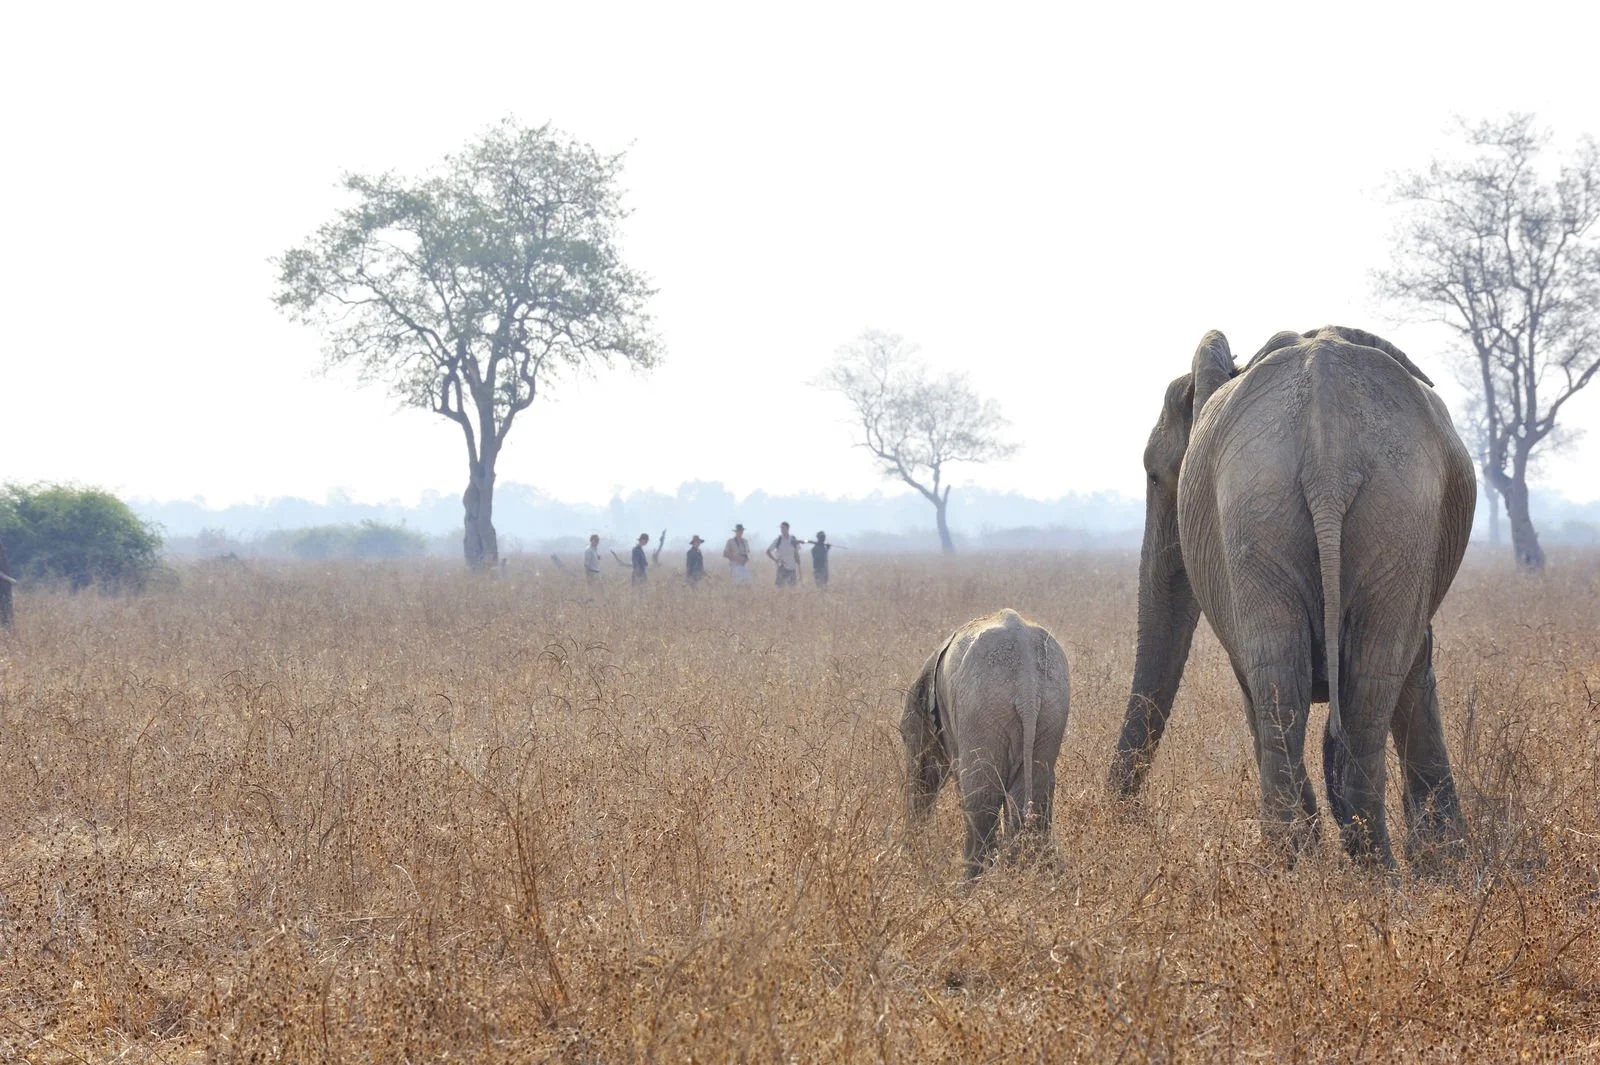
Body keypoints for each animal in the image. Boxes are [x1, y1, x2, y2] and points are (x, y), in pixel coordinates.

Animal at [903, 609, 1071, 877]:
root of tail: (1027, 682)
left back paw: (970, 881)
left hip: (982, 711)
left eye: (904, 737)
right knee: (1029, 795)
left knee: (981, 797)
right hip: (1051, 710)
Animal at [1108, 326, 1474, 868]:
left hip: (1302, 509)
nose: (1122, 817)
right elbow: (1412, 668)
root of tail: (1328, 457)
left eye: (1155, 475)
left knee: (1292, 679)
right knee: (1345, 679)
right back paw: (1364, 865)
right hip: (1361, 514)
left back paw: (1302, 860)